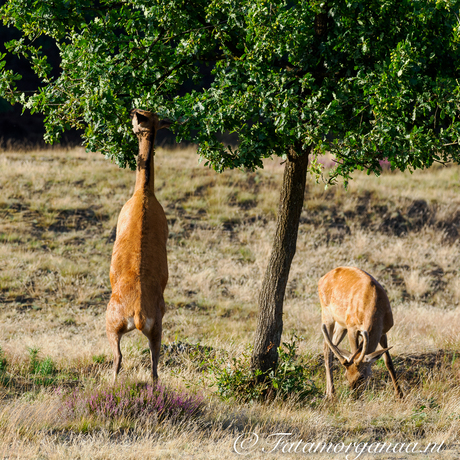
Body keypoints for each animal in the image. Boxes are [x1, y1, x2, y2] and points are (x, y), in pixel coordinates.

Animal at [318, 266, 400, 398]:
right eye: (346, 376)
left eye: (361, 376)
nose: (353, 396)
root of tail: (322, 278)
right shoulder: (352, 327)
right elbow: (354, 352)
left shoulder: (383, 331)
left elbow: (388, 362)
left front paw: (399, 394)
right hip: (327, 313)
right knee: (327, 348)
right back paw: (331, 392)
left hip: (342, 324)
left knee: (331, 346)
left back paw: (327, 391)